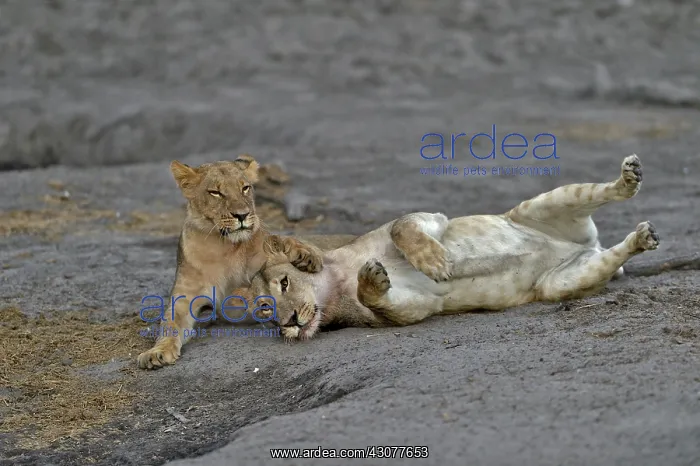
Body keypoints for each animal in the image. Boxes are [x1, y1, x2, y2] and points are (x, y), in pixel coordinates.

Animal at [137, 154, 327, 369]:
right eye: (216, 192)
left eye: (245, 188)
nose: (242, 215)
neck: (223, 248)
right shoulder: (183, 297)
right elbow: (169, 324)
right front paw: (156, 352)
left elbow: (280, 242)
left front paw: (306, 256)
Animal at [248, 154, 660, 340]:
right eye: (265, 312)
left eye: (284, 283)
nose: (287, 322)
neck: (336, 282)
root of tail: (581, 244)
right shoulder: (416, 308)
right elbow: (385, 302)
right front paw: (373, 279)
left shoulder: (430, 218)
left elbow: (402, 227)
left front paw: (434, 261)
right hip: (563, 283)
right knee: (608, 258)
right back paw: (641, 238)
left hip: (541, 205)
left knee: (606, 193)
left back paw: (630, 180)